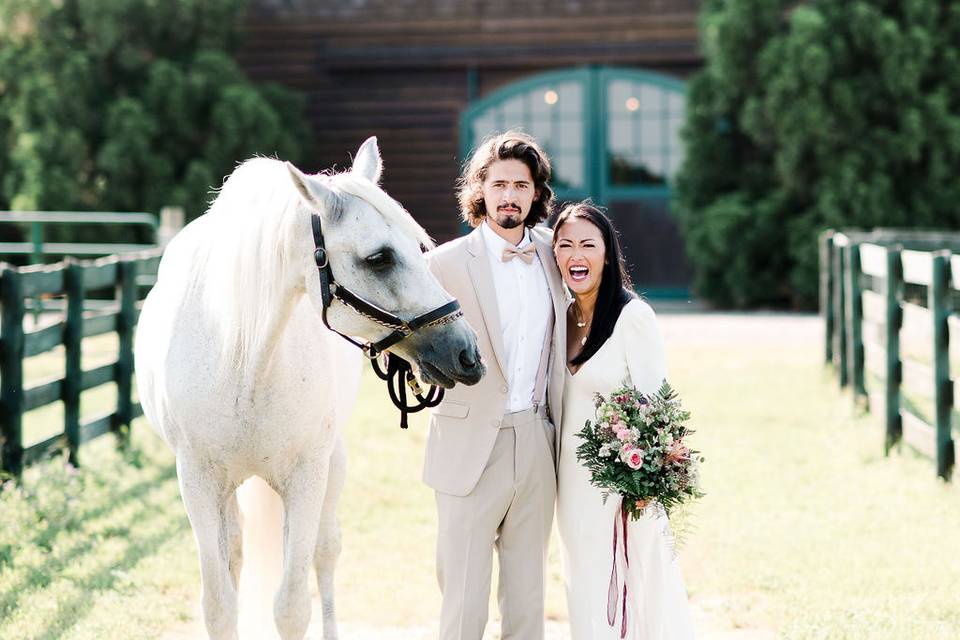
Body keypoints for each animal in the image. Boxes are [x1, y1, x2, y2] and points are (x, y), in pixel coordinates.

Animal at [133, 140, 480, 640]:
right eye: (380, 258)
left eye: (418, 248)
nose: (466, 353)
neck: (243, 360)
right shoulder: (196, 482)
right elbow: (219, 605)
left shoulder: (307, 476)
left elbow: (293, 606)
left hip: (333, 463)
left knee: (325, 551)